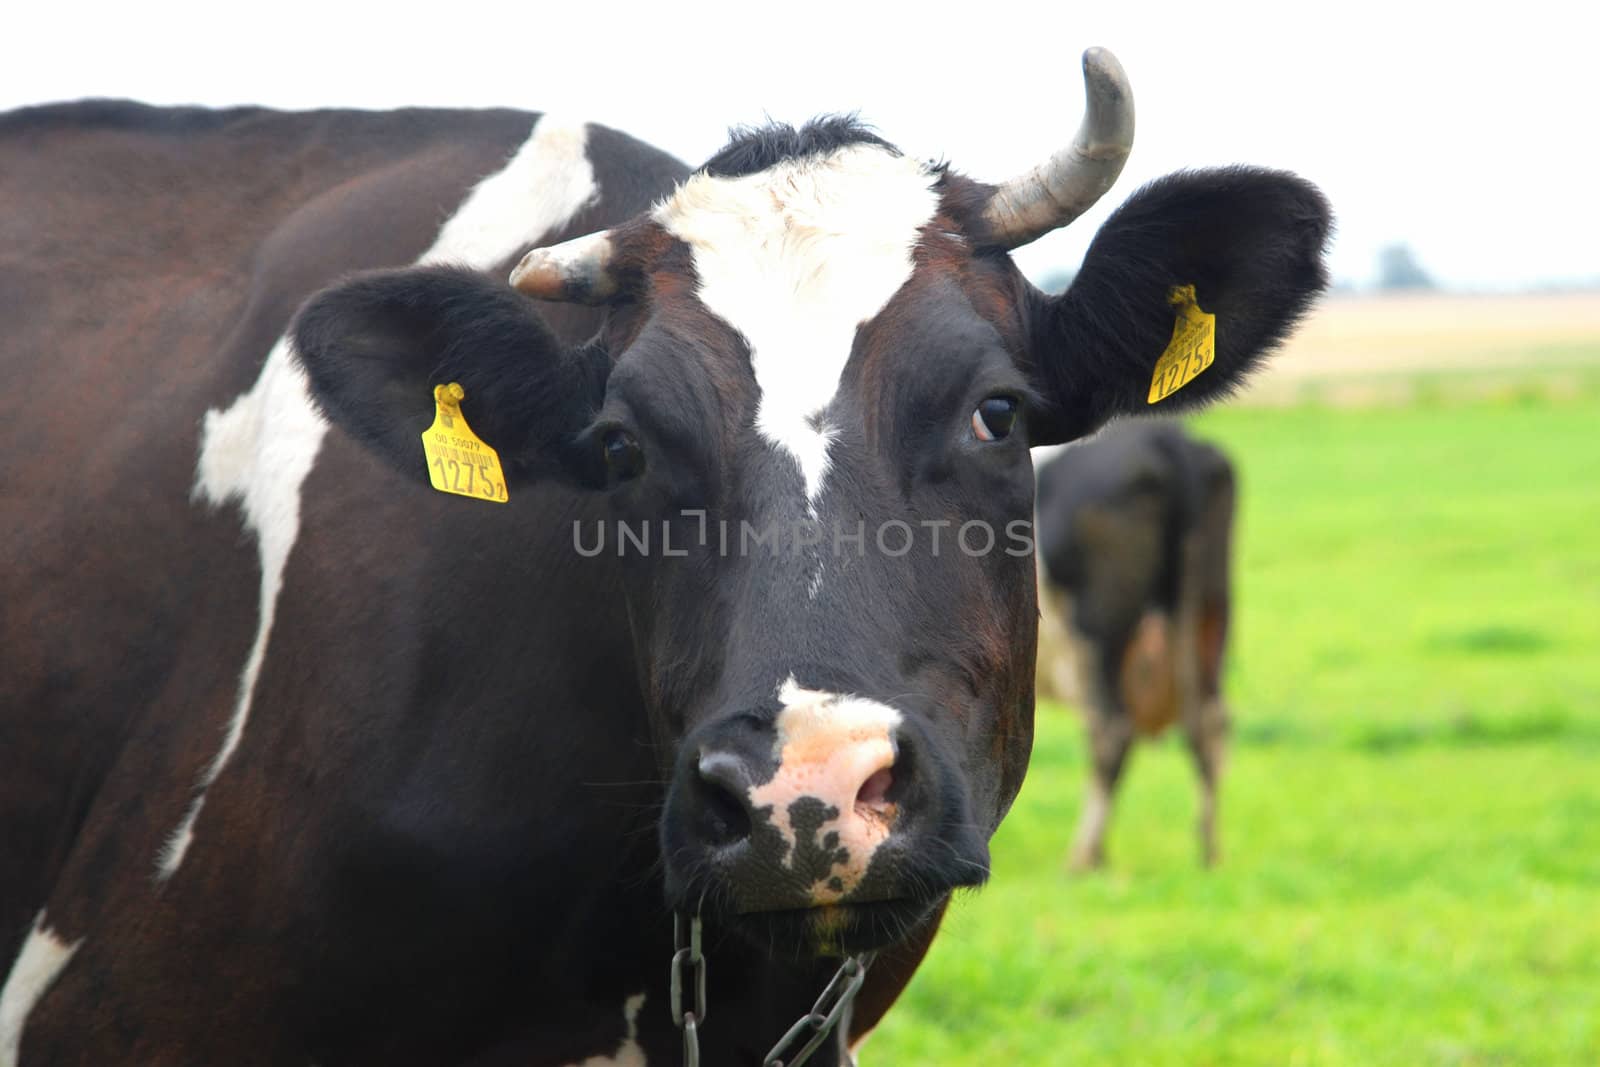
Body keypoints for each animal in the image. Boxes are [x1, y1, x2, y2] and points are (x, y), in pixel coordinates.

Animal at [1030, 419, 1241, 870]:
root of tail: (1167, 437)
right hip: (1207, 616)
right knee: (1210, 724)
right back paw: (1208, 851)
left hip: (1096, 629)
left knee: (1110, 730)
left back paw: (1083, 856)